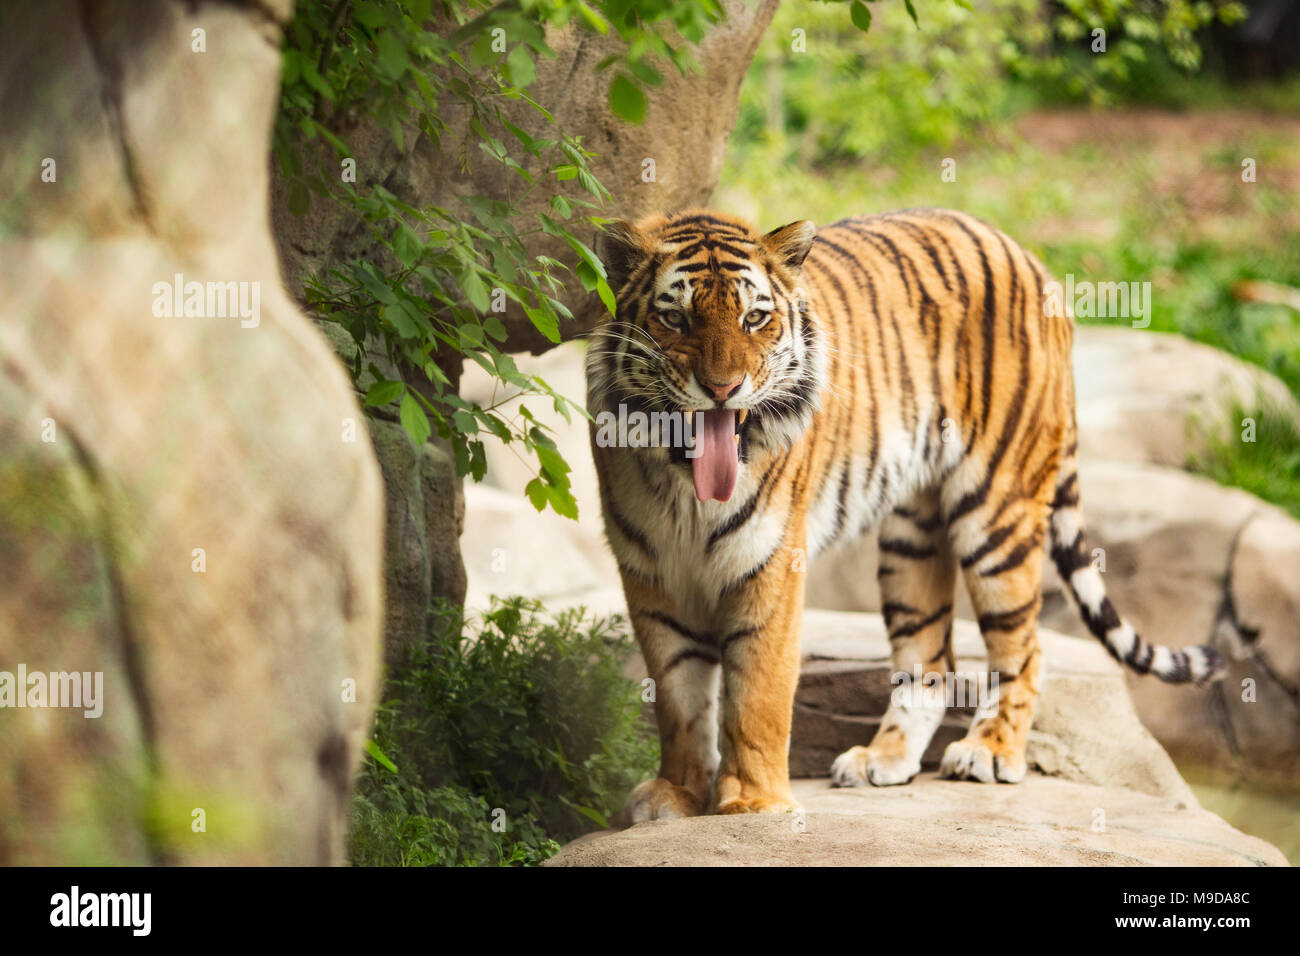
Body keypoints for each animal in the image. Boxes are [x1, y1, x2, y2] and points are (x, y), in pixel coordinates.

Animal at [585, 207, 1225, 821]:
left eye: (754, 319)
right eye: (676, 319)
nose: (723, 388)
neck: (683, 489)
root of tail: (1026, 254)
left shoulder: (769, 565)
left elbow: (756, 693)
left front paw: (754, 802)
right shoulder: (653, 575)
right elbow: (679, 699)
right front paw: (676, 793)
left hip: (996, 512)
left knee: (1025, 646)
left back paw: (990, 750)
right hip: (912, 534)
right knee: (932, 658)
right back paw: (882, 758)